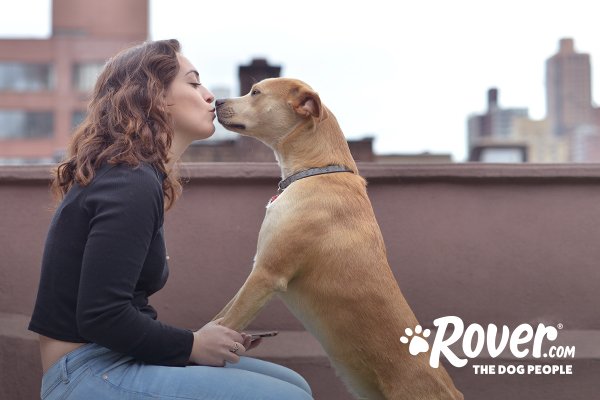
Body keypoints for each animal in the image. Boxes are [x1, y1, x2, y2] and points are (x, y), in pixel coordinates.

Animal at [214, 78, 464, 400]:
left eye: (255, 92)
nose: (216, 101)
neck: (317, 170)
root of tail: (452, 393)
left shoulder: (267, 273)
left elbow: (227, 320)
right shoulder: (258, 272)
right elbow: (221, 316)